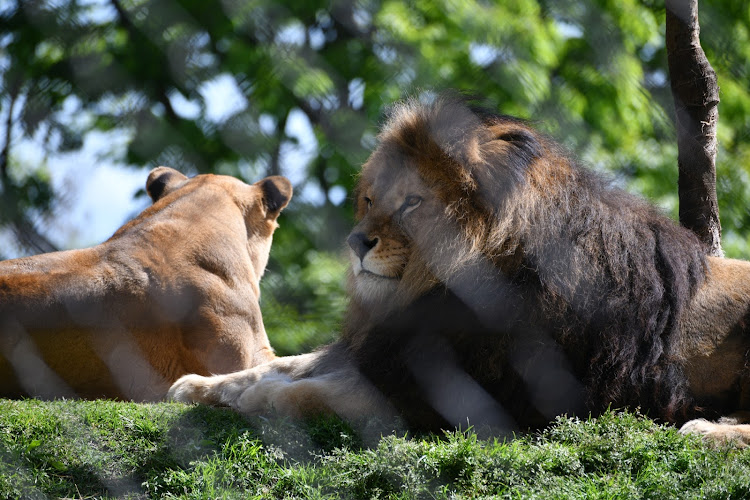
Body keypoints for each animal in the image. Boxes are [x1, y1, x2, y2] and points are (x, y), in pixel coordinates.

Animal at [169, 95, 750, 444]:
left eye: (411, 203)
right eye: (370, 199)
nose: (356, 242)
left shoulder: (469, 397)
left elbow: (320, 393)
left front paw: (255, 399)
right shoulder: (383, 346)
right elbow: (287, 365)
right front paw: (203, 384)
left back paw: (708, 430)